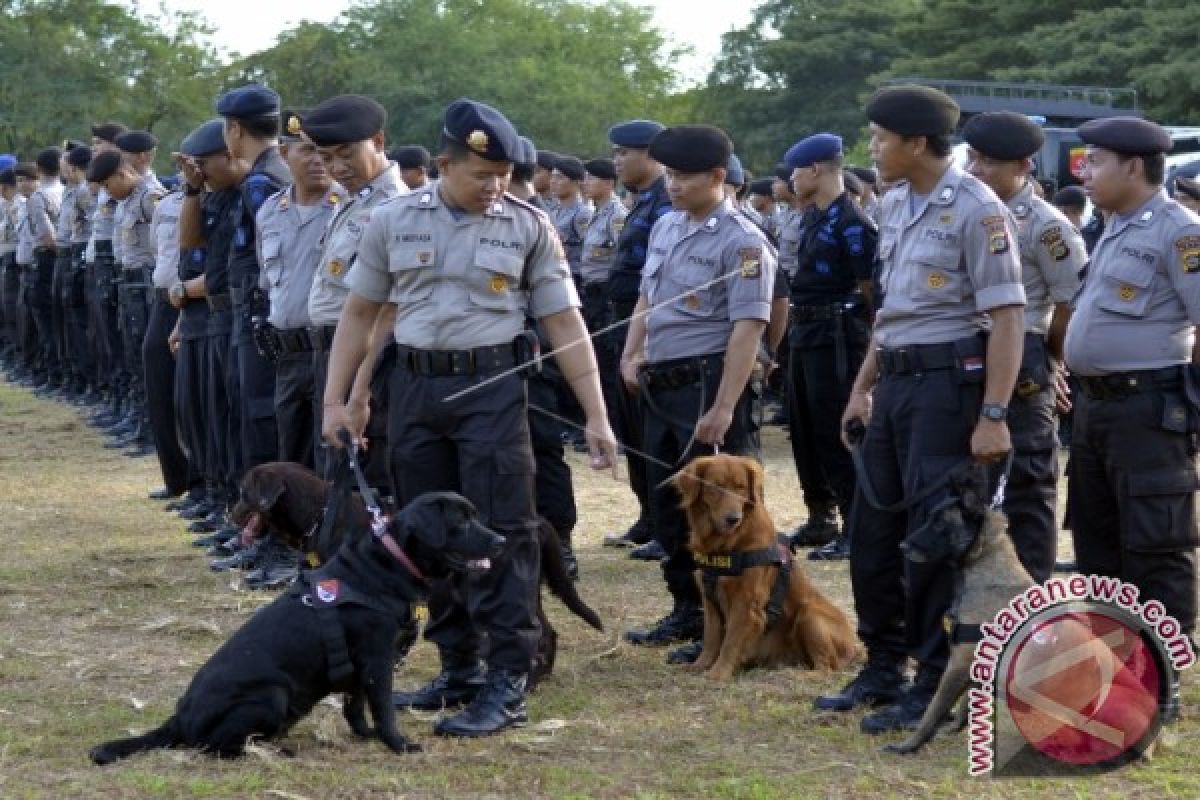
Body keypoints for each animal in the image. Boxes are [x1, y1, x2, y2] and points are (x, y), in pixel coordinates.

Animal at [672, 455, 859, 681]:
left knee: (827, 667)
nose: (733, 519)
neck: (727, 544)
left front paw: (719, 672)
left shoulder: (746, 602)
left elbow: (730, 642)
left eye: (741, 487)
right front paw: (699, 665)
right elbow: (711, 638)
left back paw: (801, 674)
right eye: (715, 487)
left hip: (809, 614)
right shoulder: (709, 600)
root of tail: (857, 647)